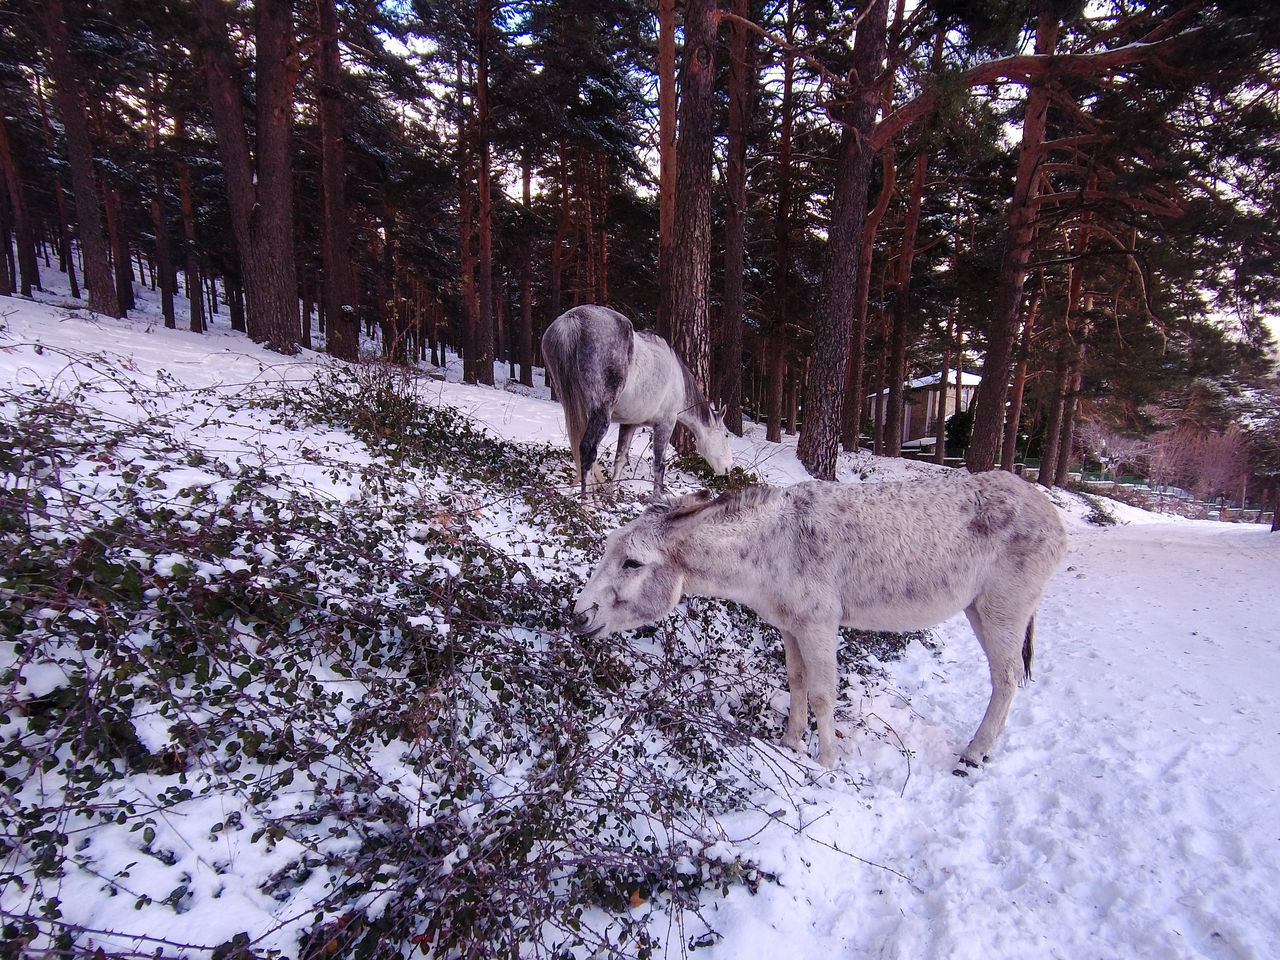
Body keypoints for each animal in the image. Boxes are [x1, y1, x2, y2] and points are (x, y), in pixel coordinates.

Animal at [537, 305, 732, 504]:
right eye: (726, 435)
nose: (728, 469)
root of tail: (573, 319)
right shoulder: (665, 424)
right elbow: (659, 464)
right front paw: (658, 498)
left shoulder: (629, 424)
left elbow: (620, 459)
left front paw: (612, 494)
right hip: (601, 412)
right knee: (588, 449)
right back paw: (588, 503)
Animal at [573, 473, 1070, 773]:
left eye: (633, 563)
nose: (579, 616)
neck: (764, 554)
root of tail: (1050, 511)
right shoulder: (789, 624)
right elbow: (795, 681)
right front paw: (790, 743)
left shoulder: (820, 623)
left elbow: (823, 693)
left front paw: (828, 761)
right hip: (978, 607)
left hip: (1005, 606)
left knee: (1006, 677)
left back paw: (974, 753)